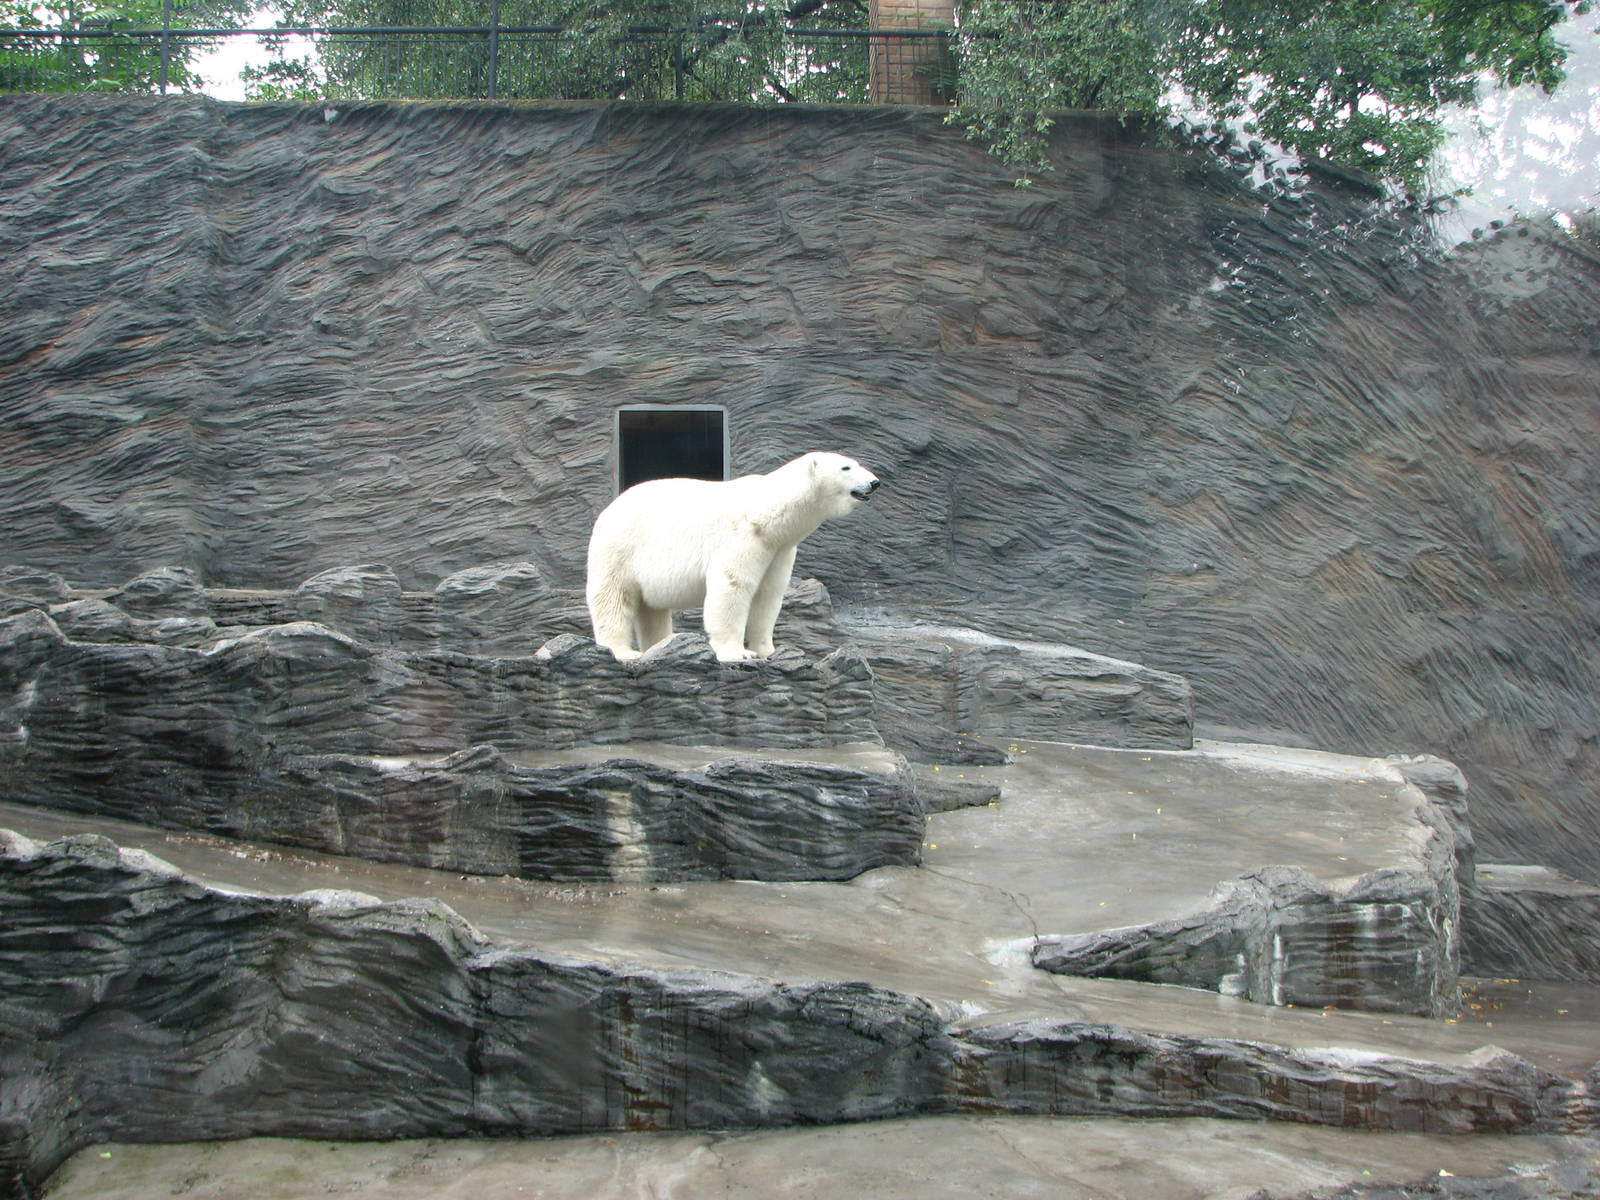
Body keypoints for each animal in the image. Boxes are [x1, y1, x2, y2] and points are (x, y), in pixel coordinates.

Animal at [585, 451, 880, 663]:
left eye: (856, 463)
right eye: (846, 468)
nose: (875, 482)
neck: (768, 513)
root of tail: (609, 508)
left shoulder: (780, 549)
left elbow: (768, 595)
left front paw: (768, 650)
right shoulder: (742, 537)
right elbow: (733, 586)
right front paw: (738, 653)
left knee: (652, 609)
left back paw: (660, 643)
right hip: (621, 547)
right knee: (613, 596)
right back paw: (623, 651)